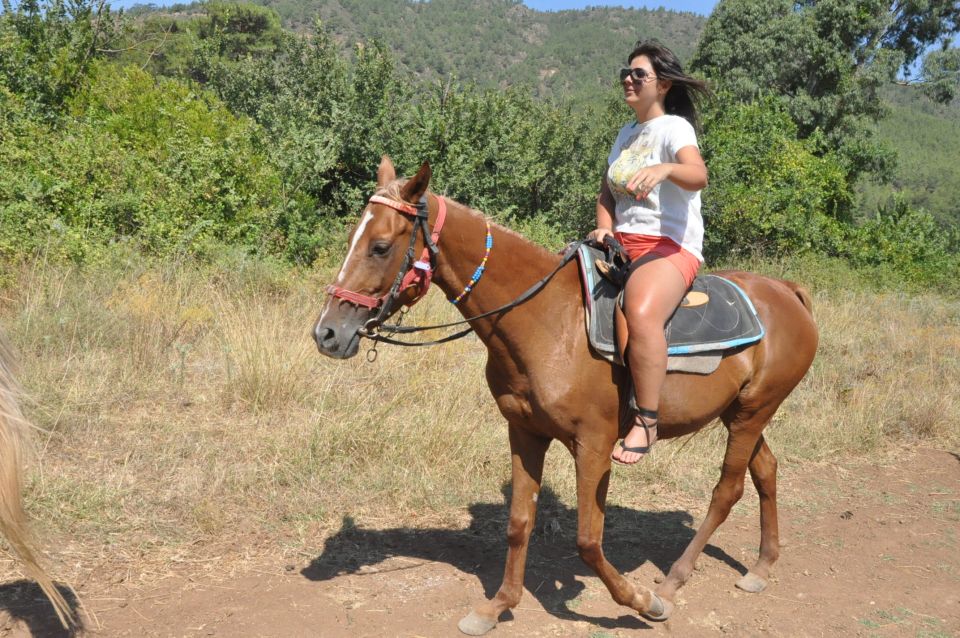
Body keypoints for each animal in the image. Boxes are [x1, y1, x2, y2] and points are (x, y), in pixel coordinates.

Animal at [314, 158, 816, 636]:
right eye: (352, 237)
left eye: (380, 246)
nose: (327, 333)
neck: (548, 320)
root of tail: (787, 291)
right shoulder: (524, 432)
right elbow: (519, 522)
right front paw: (497, 606)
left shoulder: (593, 445)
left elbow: (588, 541)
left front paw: (643, 603)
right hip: (742, 413)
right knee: (766, 470)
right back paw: (761, 566)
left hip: (752, 412)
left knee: (727, 489)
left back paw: (674, 580)